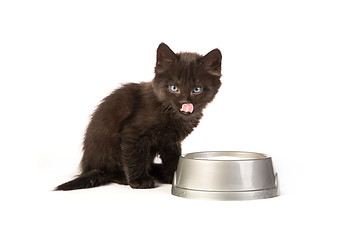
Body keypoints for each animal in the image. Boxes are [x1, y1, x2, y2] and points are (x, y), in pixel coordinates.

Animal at [54, 42, 221, 190]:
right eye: (174, 88)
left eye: (197, 89)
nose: (184, 102)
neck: (170, 112)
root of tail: (88, 168)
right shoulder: (132, 134)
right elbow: (135, 156)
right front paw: (139, 180)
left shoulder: (171, 141)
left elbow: (173, 156)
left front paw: (172, 175)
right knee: (108, 172)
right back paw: (123, 177)